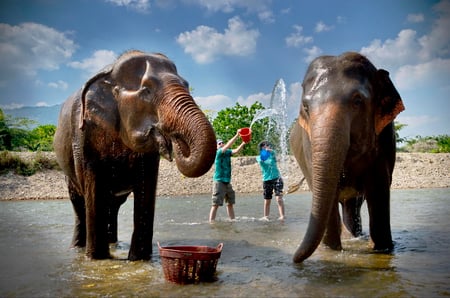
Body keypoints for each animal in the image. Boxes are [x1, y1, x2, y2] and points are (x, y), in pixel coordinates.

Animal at [53, 50, 217, 260]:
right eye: (146, 90)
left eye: (187, 84)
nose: (174, 139)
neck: (110, 72)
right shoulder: (83, 134)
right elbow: (93, 186)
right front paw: (96, 259)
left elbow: (146, 187)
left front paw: (138, 260)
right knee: (79, 204)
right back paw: (77, 248)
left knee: (112, 205)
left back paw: (113, 243)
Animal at [290, 51, 406, 264]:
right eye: (306, 107)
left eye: (357, 101)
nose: (294, 259)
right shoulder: (309, 144)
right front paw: (332, 251)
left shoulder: (385, 137)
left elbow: (378, 189)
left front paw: (383, 249)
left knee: (353, 206)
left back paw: (355, 236)